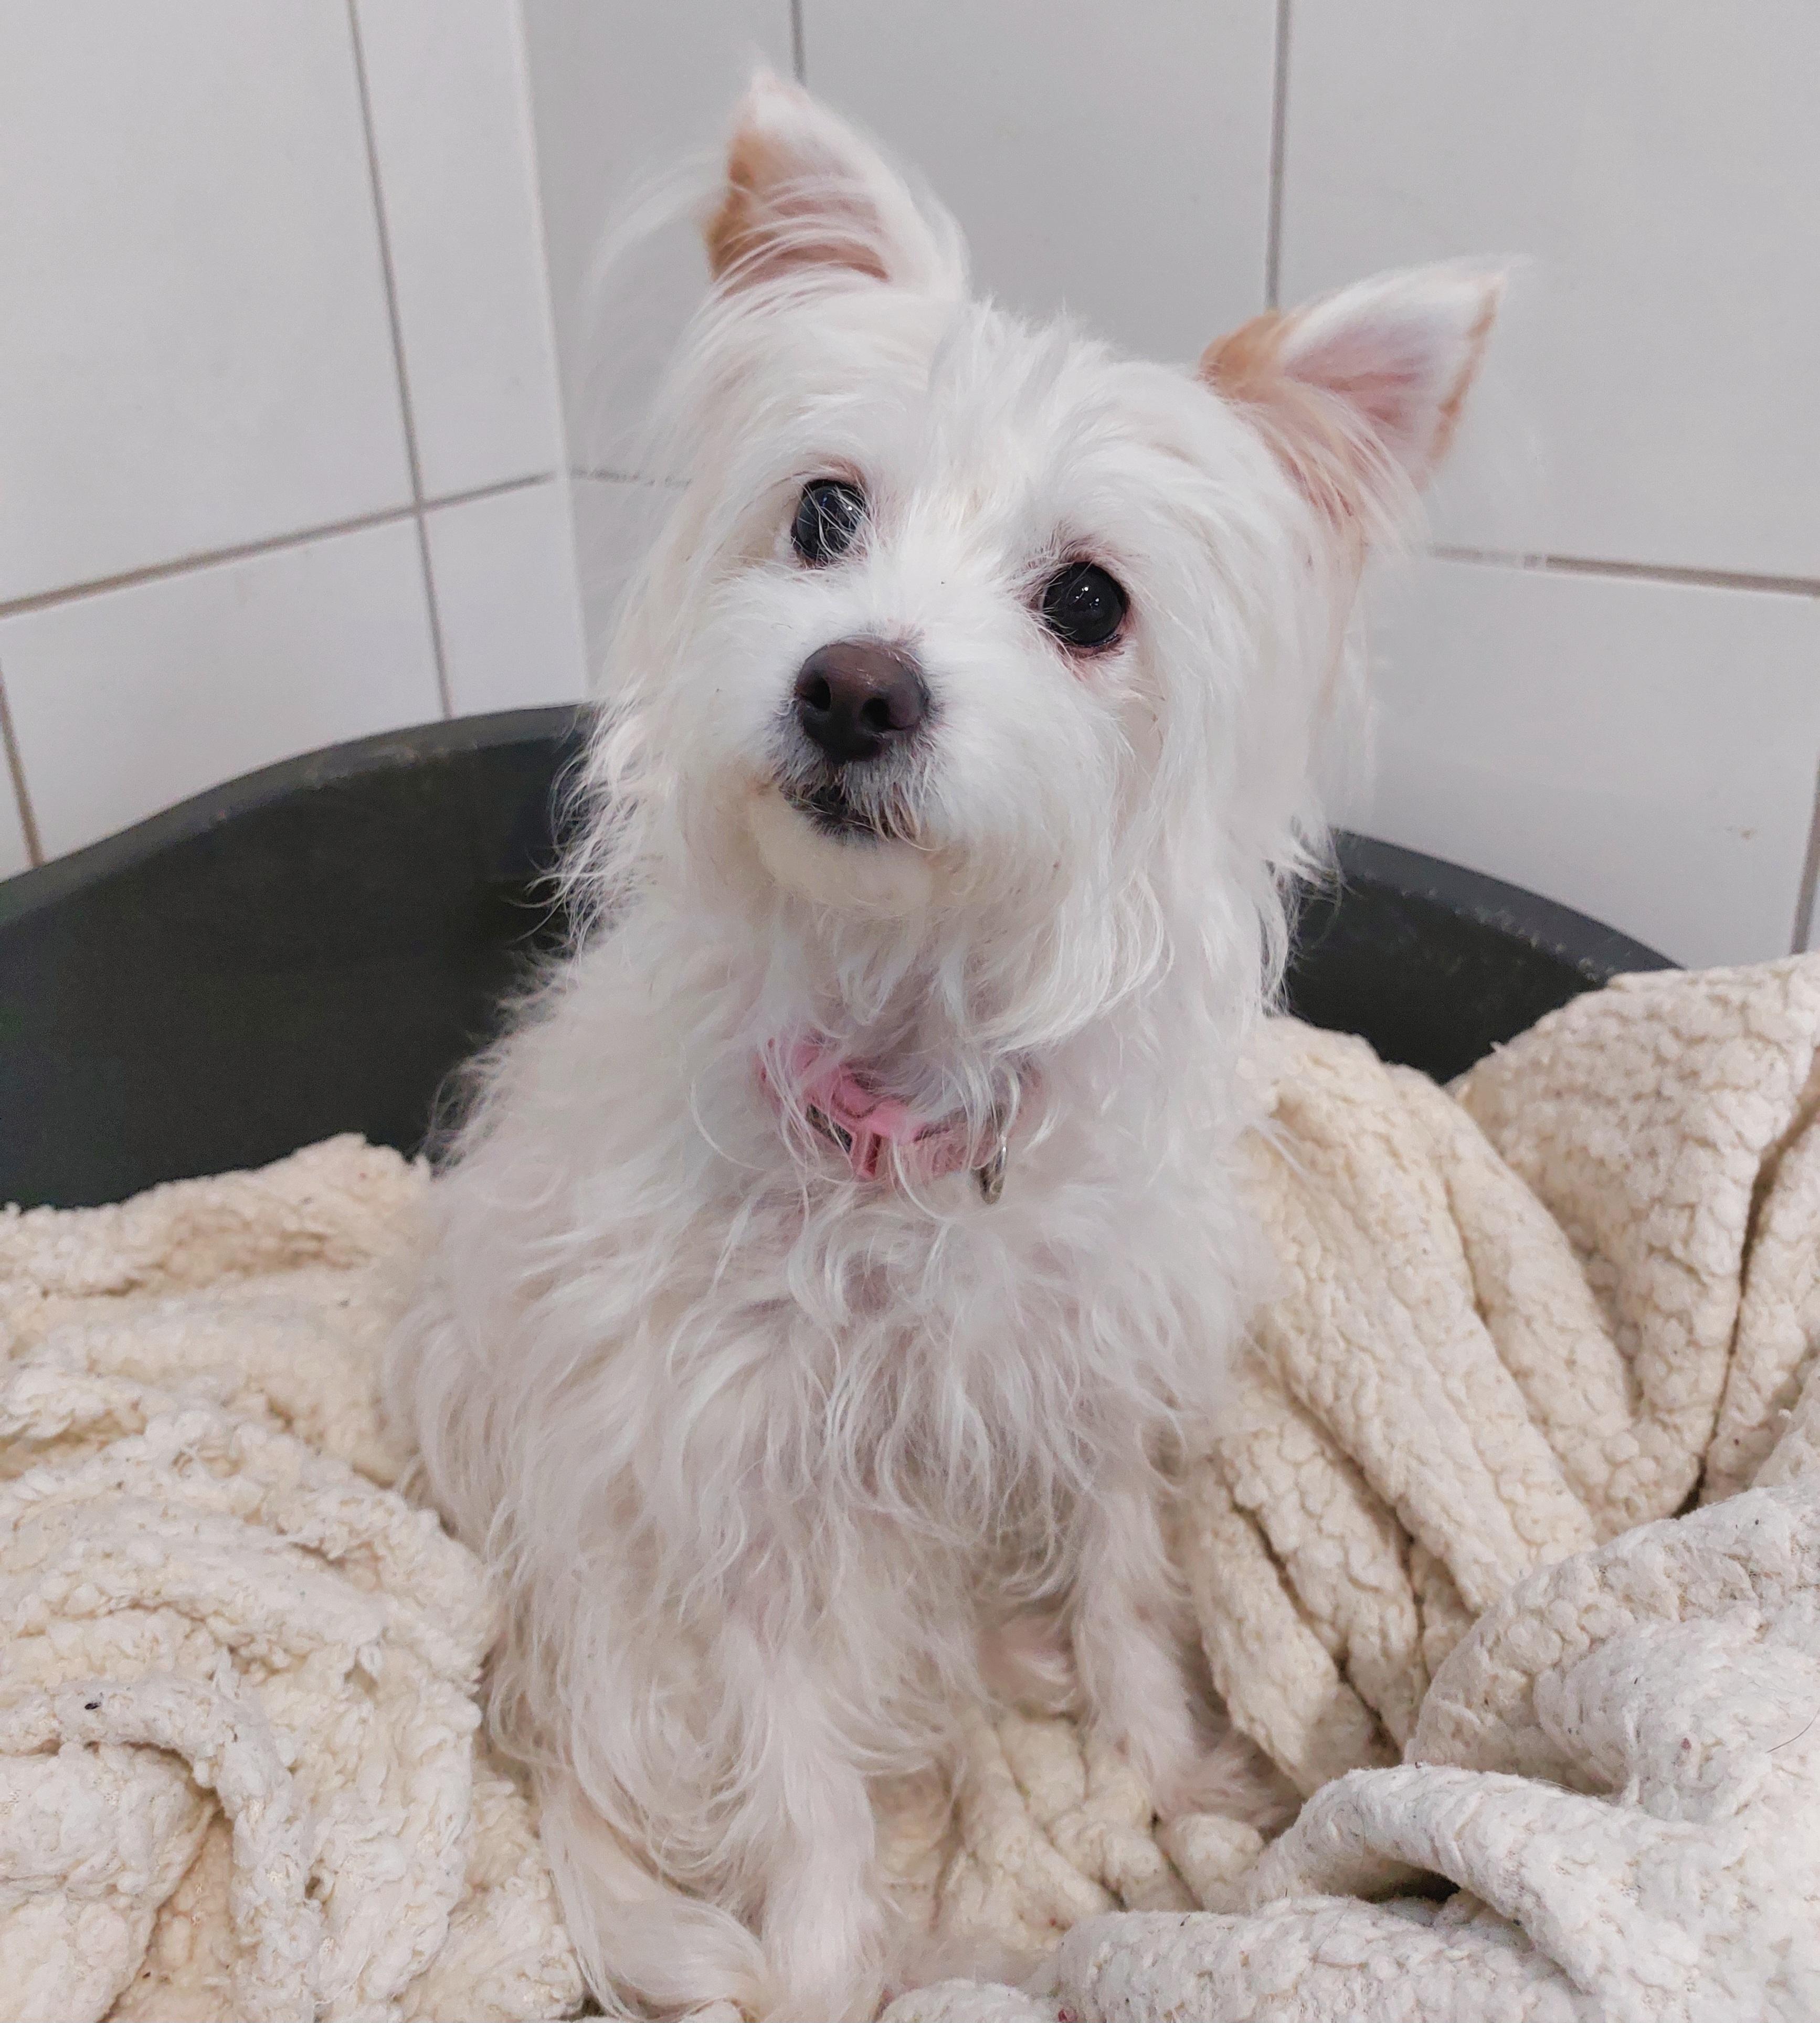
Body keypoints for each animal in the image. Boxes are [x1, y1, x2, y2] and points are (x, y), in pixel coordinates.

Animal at [386, 71, 1500, 2022]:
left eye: (1088, 601)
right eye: (825, 511)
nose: (852, 684)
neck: (901, 1091)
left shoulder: (1091, 1381)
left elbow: (1127, 1591)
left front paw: (1171, 1771)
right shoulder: (737, 1489)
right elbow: (802, 1778)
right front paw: (829, 1963)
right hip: (585, 1576)